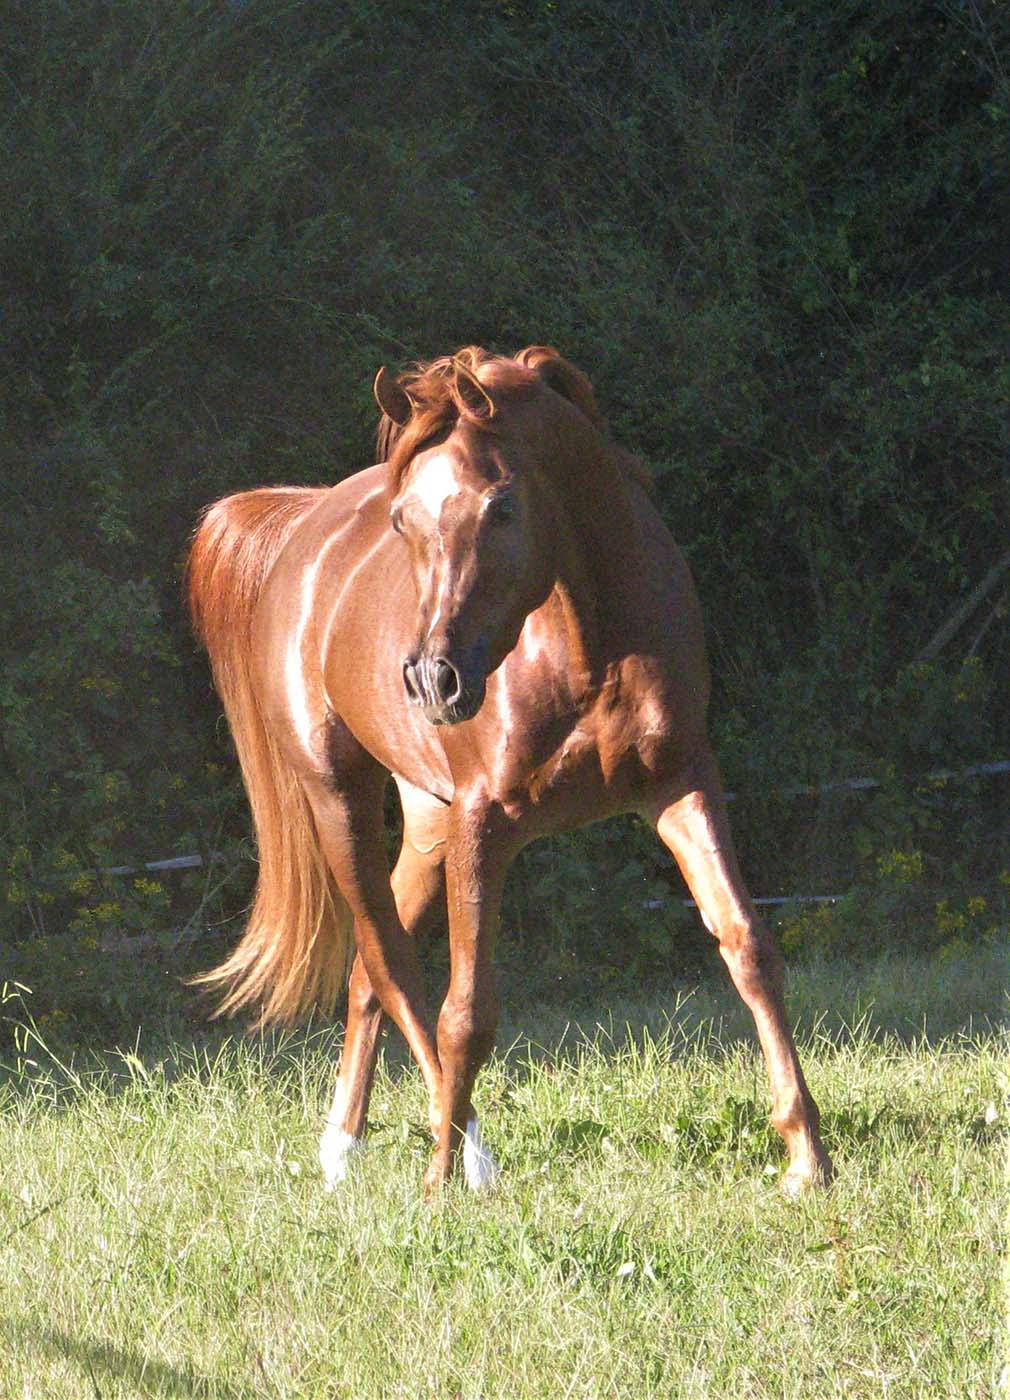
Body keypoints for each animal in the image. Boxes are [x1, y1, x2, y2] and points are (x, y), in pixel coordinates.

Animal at [187, 347, 829, 1192]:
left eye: (500, 508)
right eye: (403, 519)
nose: (432, 679)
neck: (588, 646)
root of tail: (304, 524)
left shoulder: (682, 785)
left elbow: (748, 948)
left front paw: (806, 1156)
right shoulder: (483, 822)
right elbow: (466, 1012)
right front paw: (437, 1185)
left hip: (428, 824)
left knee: (368, 974)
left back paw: (344, 1145)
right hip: (341, 800)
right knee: (393, 965)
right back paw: (466, 1154)